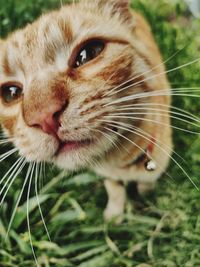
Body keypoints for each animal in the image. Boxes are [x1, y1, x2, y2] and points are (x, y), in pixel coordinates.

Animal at [0, 0, 172, 221]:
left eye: (88, 53)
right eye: (10, 93)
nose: (44, 117)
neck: (119, 163)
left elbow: (147, 182)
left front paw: (145, 196)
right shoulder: (110, 177)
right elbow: (115, 190)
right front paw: (114, 215)